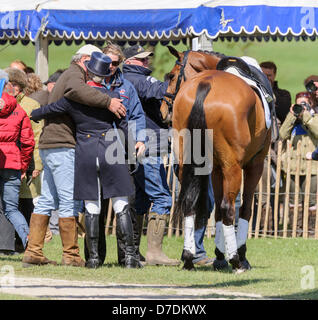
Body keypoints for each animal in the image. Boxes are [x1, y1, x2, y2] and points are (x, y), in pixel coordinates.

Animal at [163, 47, 272, 272]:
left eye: (172, 76)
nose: (162, 109)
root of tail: (206, 84)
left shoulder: (214, 168)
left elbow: (217, 214)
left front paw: (220, 256)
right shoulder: (254, 165)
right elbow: (245, 209)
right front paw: (239, 255)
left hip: (188, 162)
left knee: (190, 204)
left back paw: (188, 257)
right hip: (233, 168)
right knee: (228, 208)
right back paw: (237, 261)